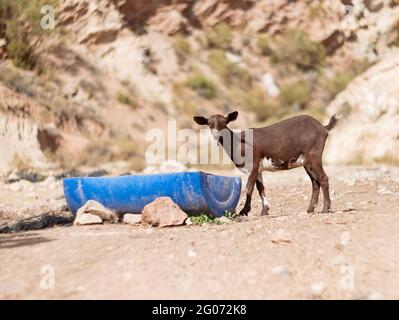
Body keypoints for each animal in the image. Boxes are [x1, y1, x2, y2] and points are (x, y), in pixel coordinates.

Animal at [195, 111, 340, 216]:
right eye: (209, 124)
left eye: (224, 122)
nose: (216, 135)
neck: (239, 144)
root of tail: (323, 127)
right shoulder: (258, 169)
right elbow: (261, 188)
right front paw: (264, 211)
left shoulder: (253, 166)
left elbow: (249, 188)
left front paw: (244, 211)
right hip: (306, 161)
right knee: (315, 182)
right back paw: (310, 209)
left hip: (314, 155)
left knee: (323, 178)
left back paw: (325, 209)